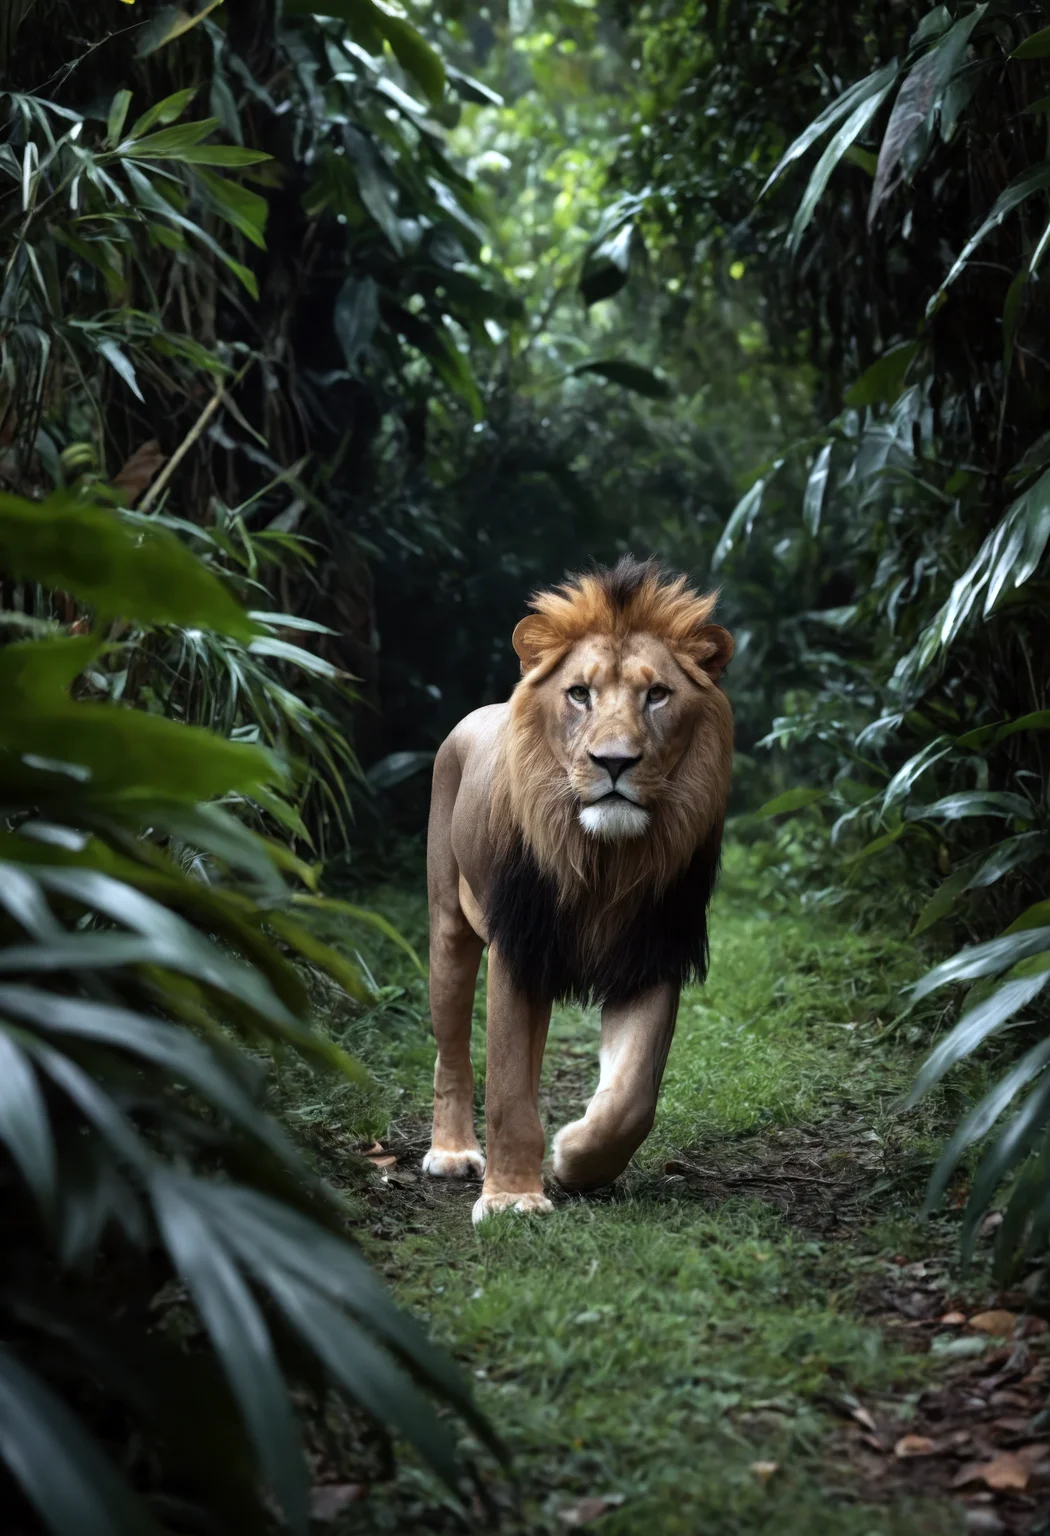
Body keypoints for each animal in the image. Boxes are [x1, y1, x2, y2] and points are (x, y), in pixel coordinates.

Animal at [422, 555, 733, 1222]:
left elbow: (630, 1098)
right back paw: (453, 1153)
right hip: (448, 927)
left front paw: (575, 1160)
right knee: (453, 1049)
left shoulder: (652, 953)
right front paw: (512, 1198)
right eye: (579, 694)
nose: (614, 762)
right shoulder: (519, 946)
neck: (604, 861)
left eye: (657, 695)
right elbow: (507, 1086)